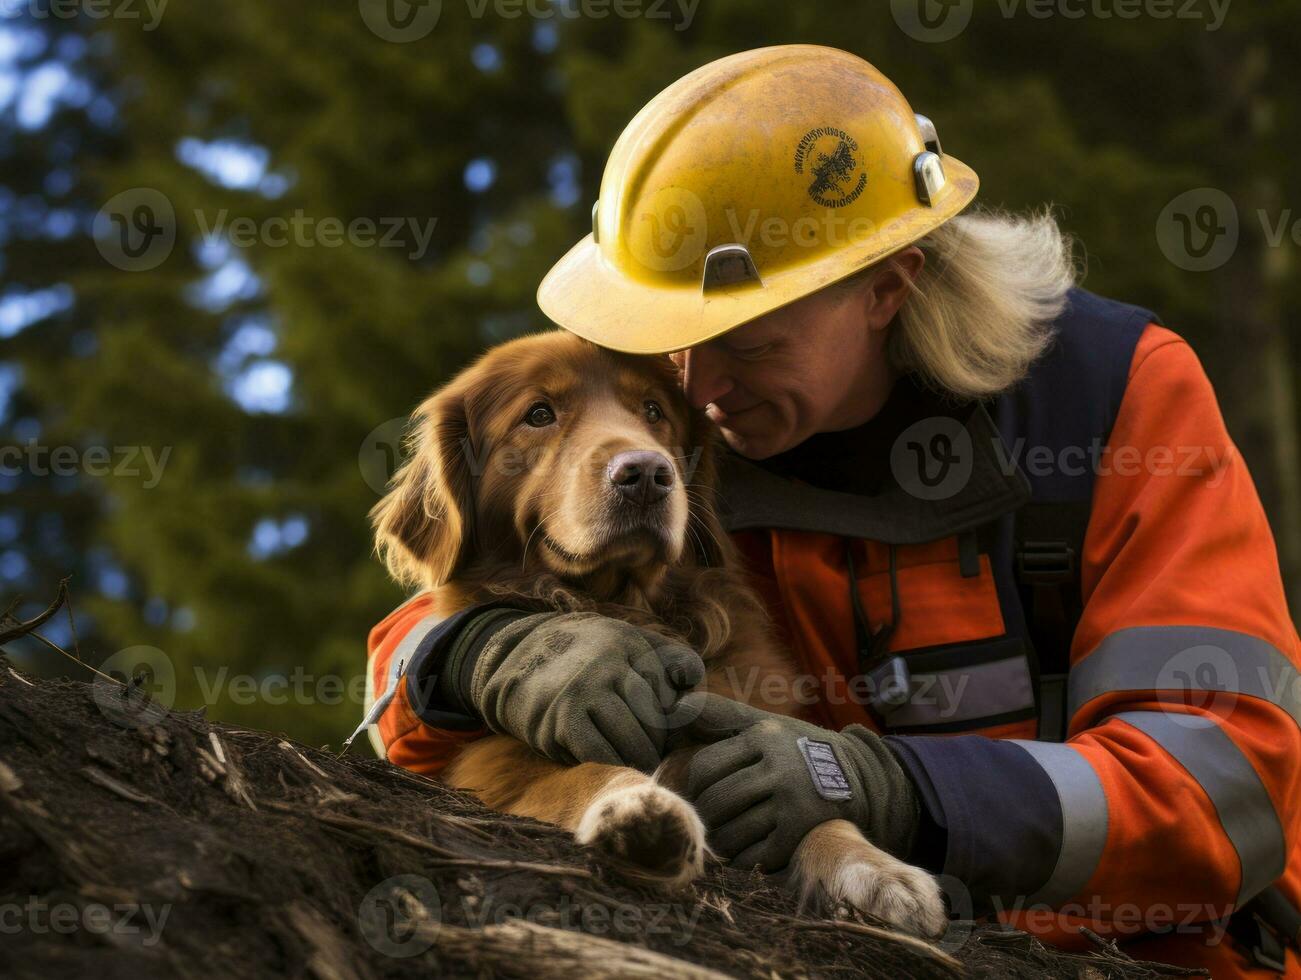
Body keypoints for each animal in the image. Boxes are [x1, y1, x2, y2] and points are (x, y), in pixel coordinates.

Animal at [372, 329, 941, 931]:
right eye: (538, 414)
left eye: (652, 411)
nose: (645, 473)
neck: (629, 607)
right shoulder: (492, 768)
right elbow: (587, 770)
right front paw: (639, 811)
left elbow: (810, 808)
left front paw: (874, 867)